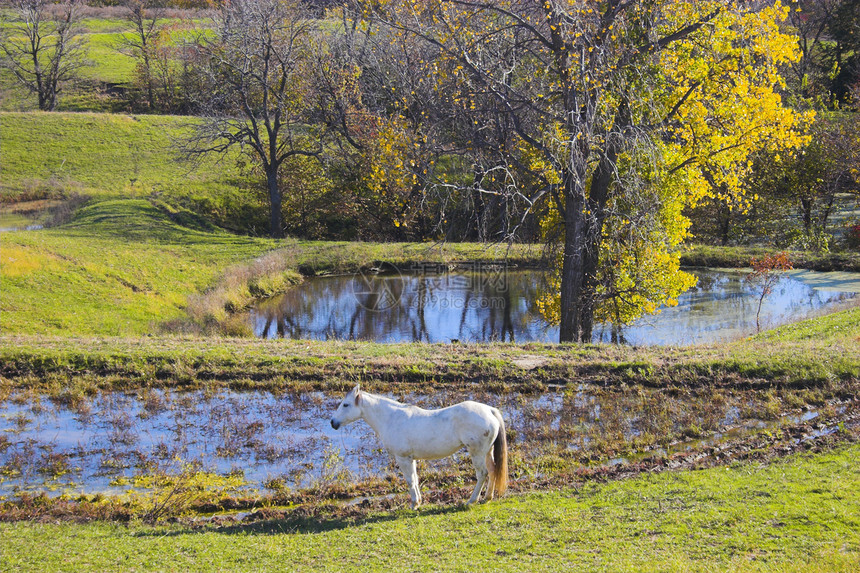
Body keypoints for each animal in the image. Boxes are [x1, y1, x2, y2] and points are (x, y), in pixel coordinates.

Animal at [328, 386, 504, 508]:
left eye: (345, 405)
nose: (332, 422)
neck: (392, 418)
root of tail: (490, 410)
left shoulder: (403, 458)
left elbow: (410, 480)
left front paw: (413, 504)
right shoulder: (411, 459)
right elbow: (415, 479)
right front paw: (418, 502)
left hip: (477, 453)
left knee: (482, 474)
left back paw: (471, 500)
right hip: (487, 452)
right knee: (493, 470)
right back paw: (488, 497)